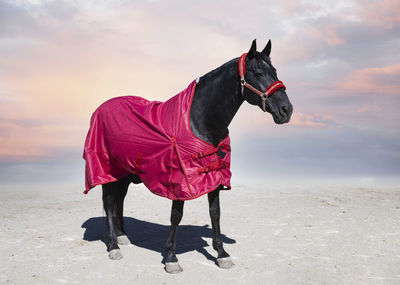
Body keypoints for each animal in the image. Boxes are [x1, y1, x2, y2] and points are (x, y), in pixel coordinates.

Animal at [97, 40, 290, 272]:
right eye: (259, 72)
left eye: (275, 71)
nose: (286, 110)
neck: (200, 120)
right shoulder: (180, 181)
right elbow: (176, 216)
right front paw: (171, 257)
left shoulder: (214, 175)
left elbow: (215, 212)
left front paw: (222, 254)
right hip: (108, 171)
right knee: (109, 202)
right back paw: (114, 246)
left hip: (125, 174)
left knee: (119, 200)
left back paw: (122, 236)